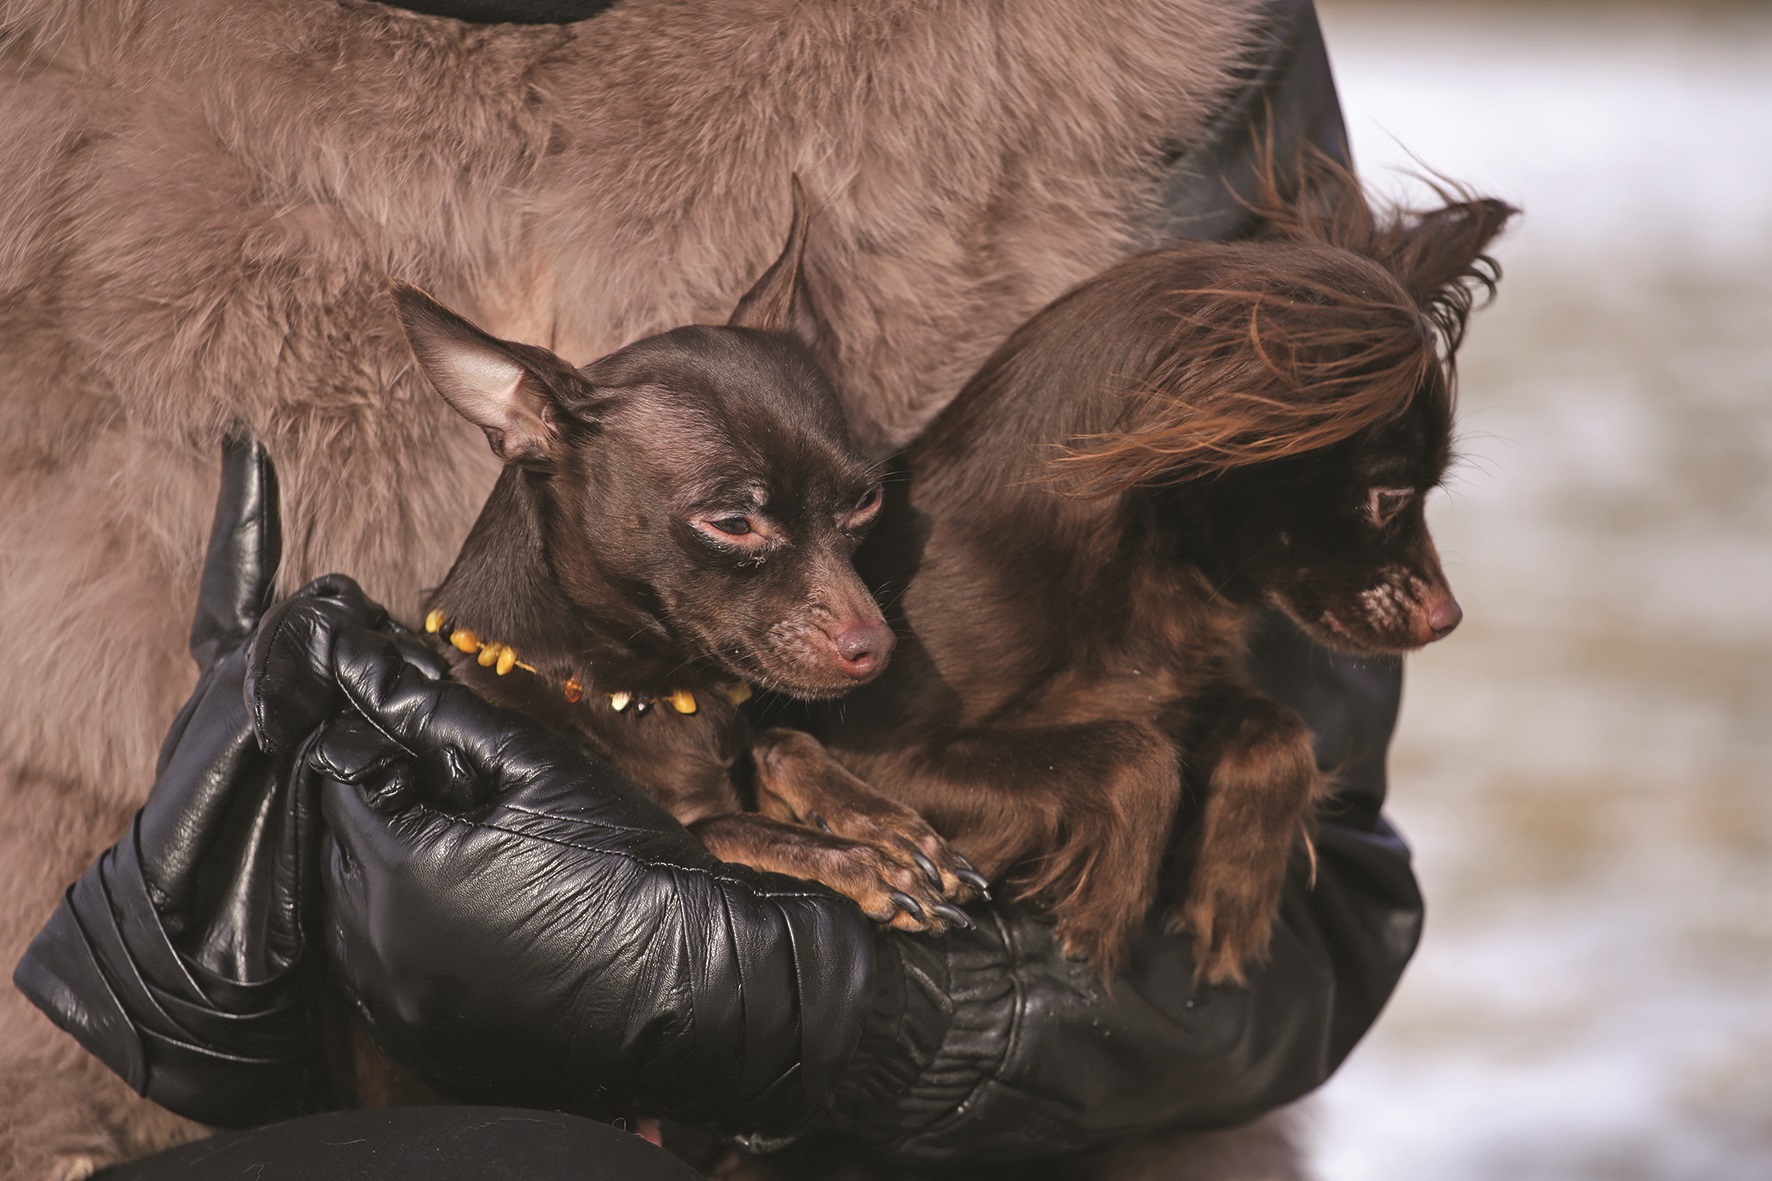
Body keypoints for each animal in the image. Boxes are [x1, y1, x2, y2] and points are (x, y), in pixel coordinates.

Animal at [754, 167, 1516, 971]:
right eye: (1389, 497)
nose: (1448, 617)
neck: (1141, 572)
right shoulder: (876, 755)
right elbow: (1136, 754)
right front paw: (1106, 912)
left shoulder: (1178, 689)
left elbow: (1278, 734)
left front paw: (1231, 895)